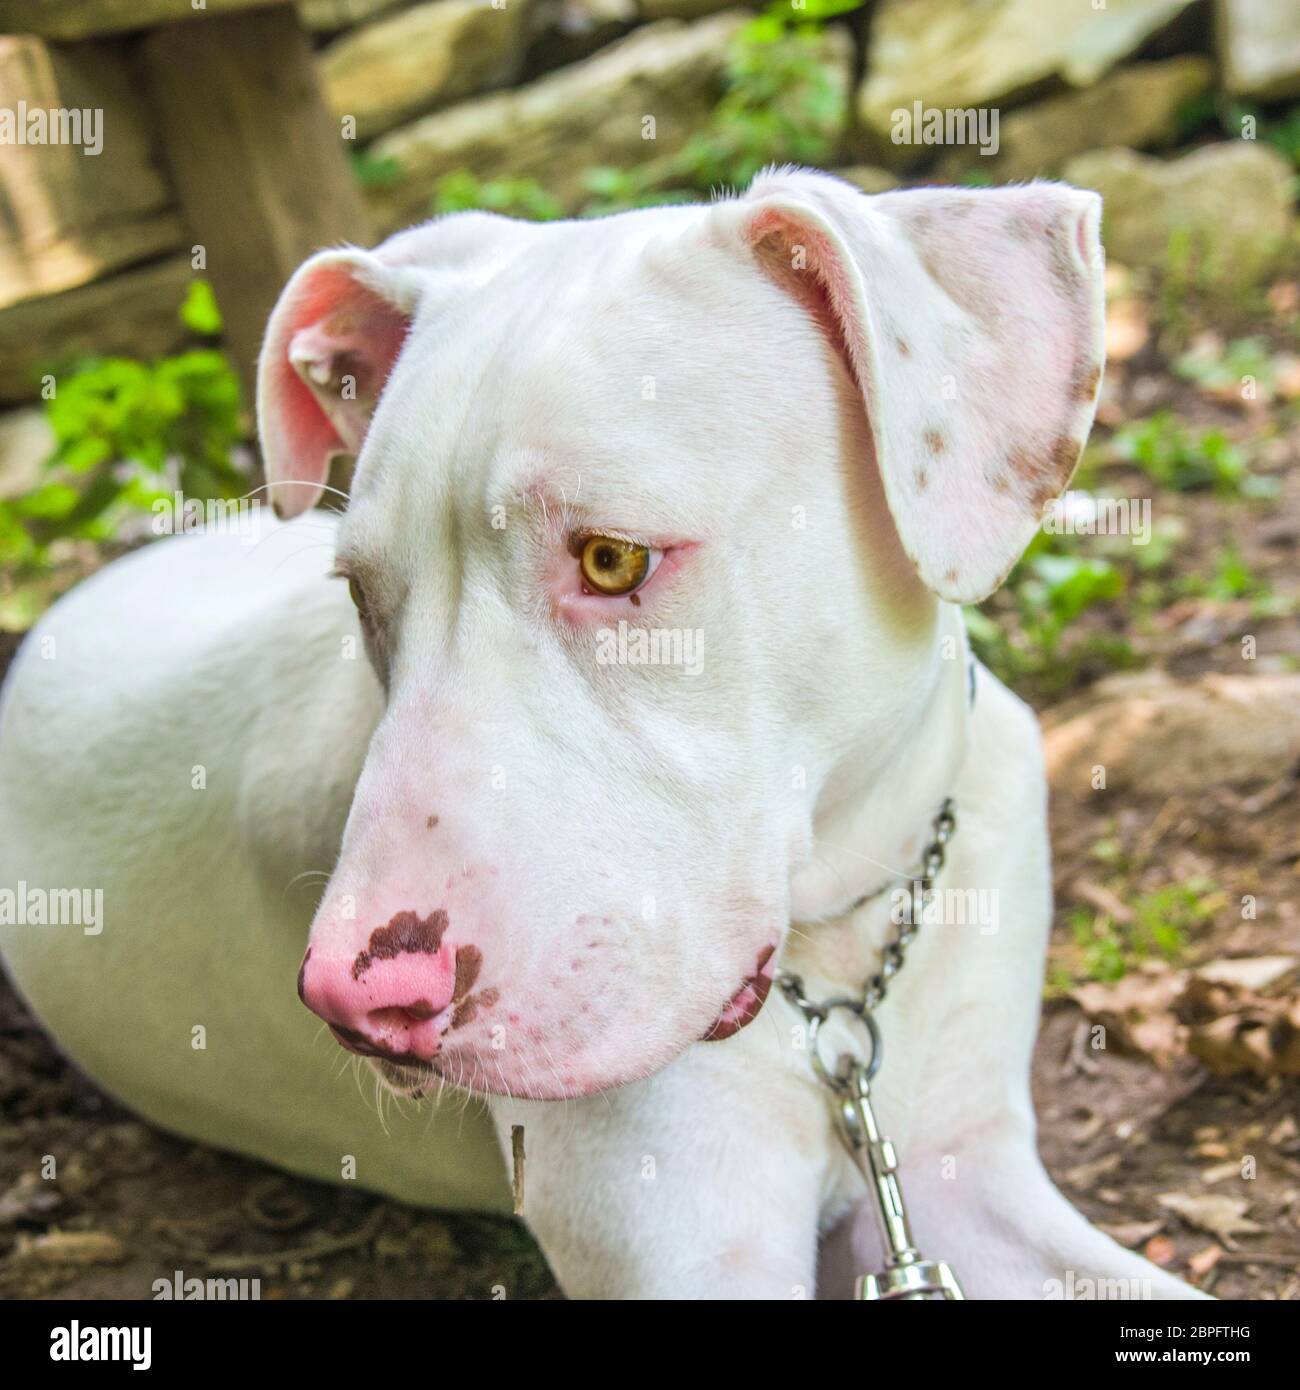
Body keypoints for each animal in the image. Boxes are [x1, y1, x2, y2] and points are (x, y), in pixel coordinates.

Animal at [0, 168, 1201, 1295]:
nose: (357, 1004)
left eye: (612, 558)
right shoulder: (687, 1250)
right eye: (364, 596)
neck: (836, 937)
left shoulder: (966, 1174)